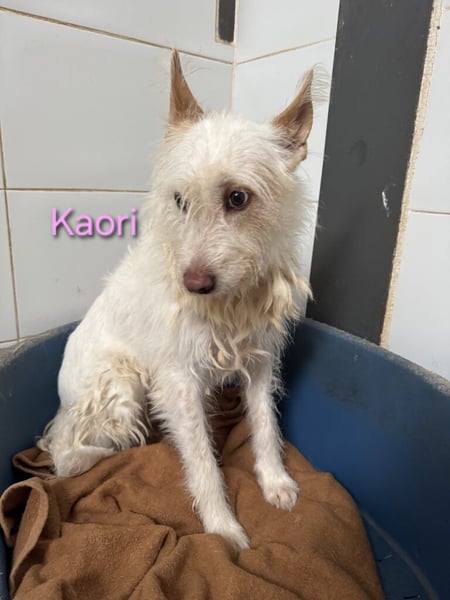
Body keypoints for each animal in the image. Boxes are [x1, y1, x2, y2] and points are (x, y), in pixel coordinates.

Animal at [39, 50, 314, 550]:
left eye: (238, 198)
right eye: (180, 200)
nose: (194, 284)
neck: (229, 302)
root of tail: (62, 400)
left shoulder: (261, 361)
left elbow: (265, 424)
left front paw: (274, 480)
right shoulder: (179, 381)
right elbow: (203, 461)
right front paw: (222, 528)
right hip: (121, 390)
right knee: (65, 454)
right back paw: (94, 454)